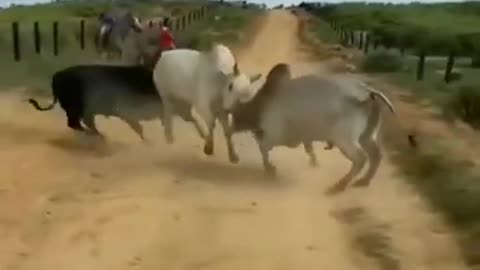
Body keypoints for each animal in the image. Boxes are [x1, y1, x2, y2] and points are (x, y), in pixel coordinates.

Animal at [27, 64, 195, 142]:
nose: (191, 117)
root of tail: (57, 76)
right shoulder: (127, 113)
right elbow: (139, 128)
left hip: (82, 111)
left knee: (82, 123)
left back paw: (98, 136)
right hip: (75, 109)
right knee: (76, 124)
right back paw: (98, 137)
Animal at [229, 63, 398, 194]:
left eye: (237, 114)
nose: (232, 127)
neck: (263, 103)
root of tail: (368, 91)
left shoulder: (274, 135)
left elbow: (263, 148)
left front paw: (270, 169)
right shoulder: (305, 136)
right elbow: (309, 148)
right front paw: (314, 162)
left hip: (344, 139)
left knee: (361, 158)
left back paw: (339, 186)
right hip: (367, 135)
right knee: (376, 155)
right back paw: (364, 181)